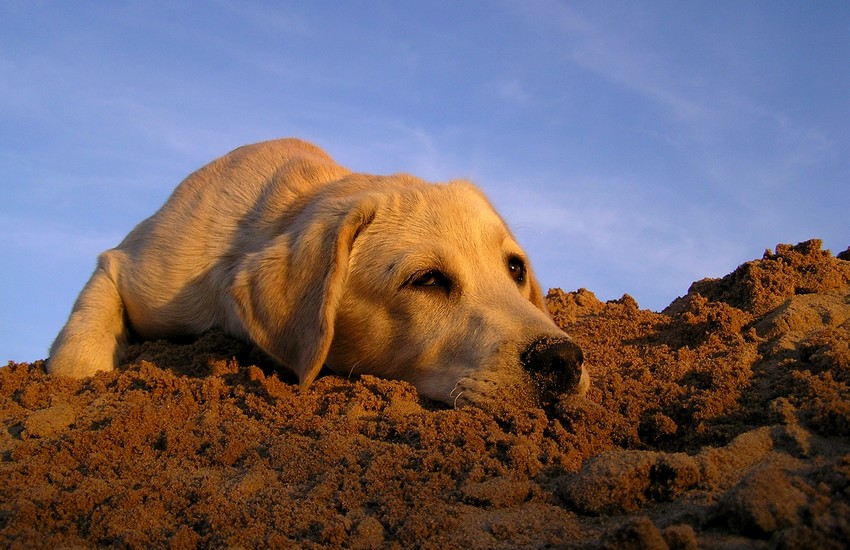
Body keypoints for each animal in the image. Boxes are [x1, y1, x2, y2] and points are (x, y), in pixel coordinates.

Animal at [48, 139, 588, 406]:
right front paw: (76, 376)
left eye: (515, 268)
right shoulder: (130, 265)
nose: (563, 359)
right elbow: (79, 349)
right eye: (428, 280)